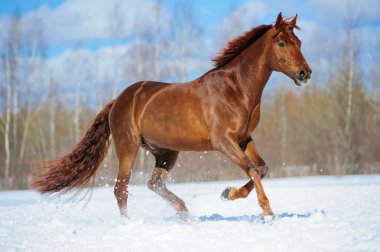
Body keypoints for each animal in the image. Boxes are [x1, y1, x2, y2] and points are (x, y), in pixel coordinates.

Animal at [31, 12, 312, 220]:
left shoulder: (244, 139)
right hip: (128, 147)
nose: (304, 73)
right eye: (282, 43)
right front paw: (267, 211)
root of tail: (119, 100)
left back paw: (183, 211)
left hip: (166, 152)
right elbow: (253, 170)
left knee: (154, 184)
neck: (236, 89)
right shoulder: (223, 142)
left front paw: (227, 193)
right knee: (121, 189)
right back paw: (129, 224)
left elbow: (261, 168)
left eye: (299, 43)